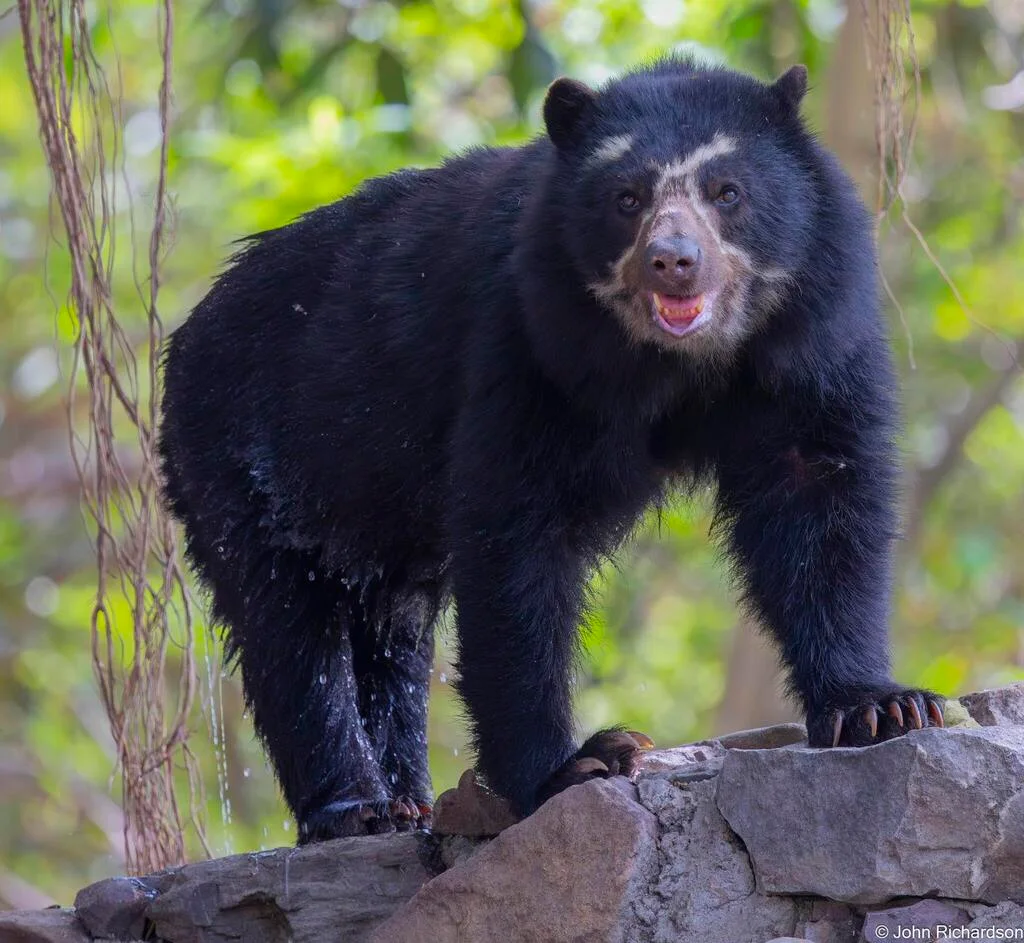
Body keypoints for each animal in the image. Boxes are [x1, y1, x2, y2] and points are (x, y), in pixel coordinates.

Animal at [159, 57, 944, 842]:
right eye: (627, 198)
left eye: (728, 192)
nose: (673, 262)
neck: (679, 363)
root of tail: (186, 332)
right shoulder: (528, 345)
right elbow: (518, 535)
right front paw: (576, 764)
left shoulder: (809, 341)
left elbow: (818, 497)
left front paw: (882, 707)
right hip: (245, 454)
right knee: (291, 627)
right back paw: (360, 808)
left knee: (390, 631)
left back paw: (409, 799)